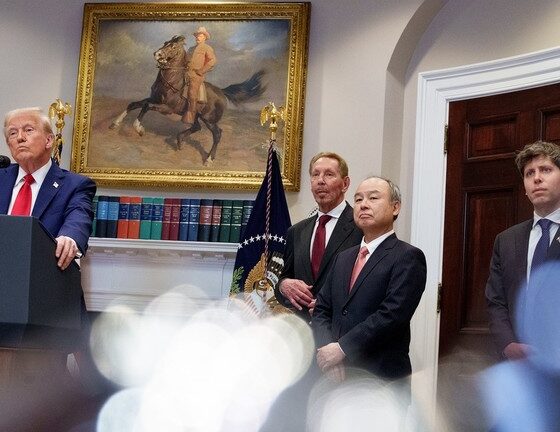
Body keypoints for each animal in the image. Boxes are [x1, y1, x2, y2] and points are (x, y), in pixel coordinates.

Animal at [111, 35, 266, 165]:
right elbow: (134, 104)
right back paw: (180, 140)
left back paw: (209, 159)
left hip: (209, 119)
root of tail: (222, 91)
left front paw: (139, 128)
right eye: (165, 43)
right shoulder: (154, 98)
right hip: (195, 114)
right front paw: (115, 123)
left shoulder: (167, 108)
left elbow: (146, 106)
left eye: (173, 47)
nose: (157, 54)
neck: (172, 82)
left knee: (217, 134)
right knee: (197, 127)